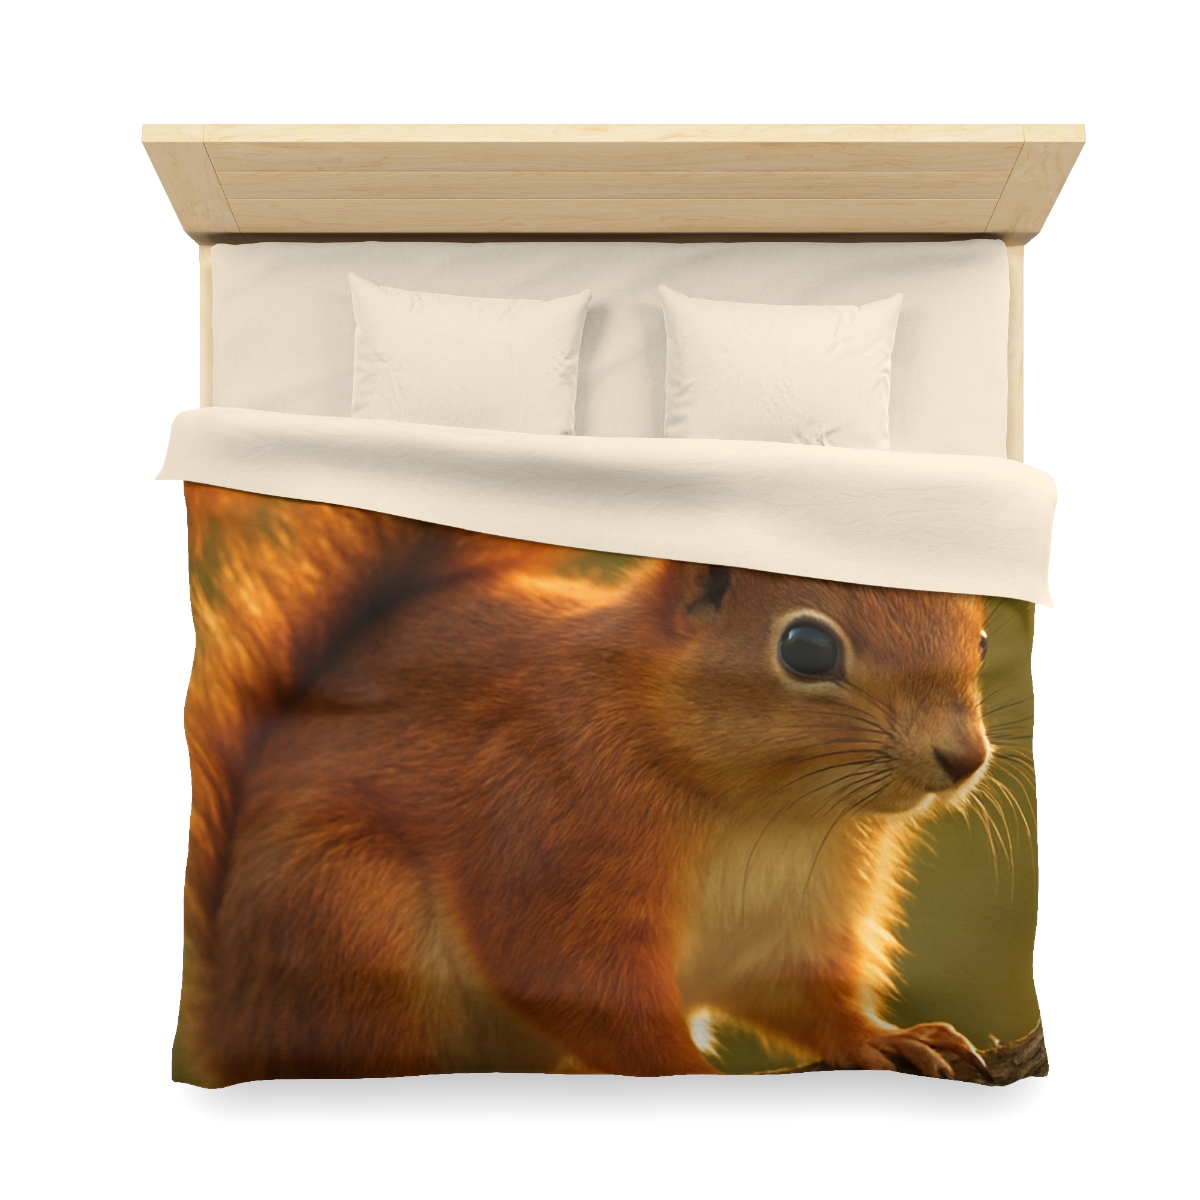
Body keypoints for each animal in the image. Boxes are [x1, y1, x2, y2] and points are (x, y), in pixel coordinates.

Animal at [178, 482, 993, 1085]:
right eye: (807, 647)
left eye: (980, 637)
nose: (965, 756)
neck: (763, 808)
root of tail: (235, 1030)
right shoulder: (552, 821)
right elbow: (587, 991)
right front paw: (691, 1076)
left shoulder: (795, 919)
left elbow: (799, 994)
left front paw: (879, 1037)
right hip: (346, 912)